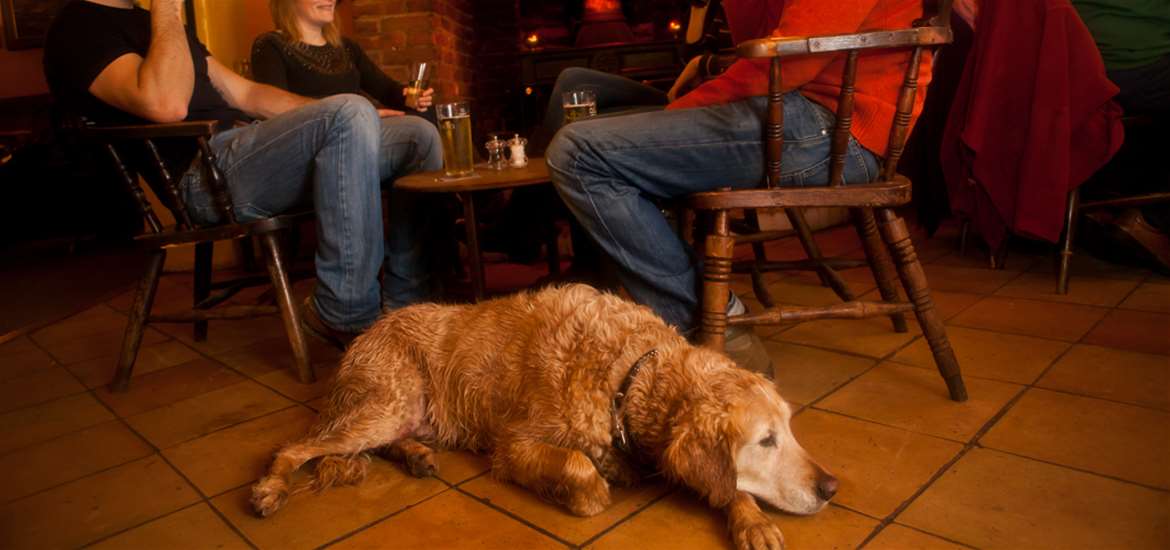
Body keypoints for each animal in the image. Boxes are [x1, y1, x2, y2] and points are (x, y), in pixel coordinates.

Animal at [251, 283, 837, 550]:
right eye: (765, 440)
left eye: (786, 430)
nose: (831, 487)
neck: (627, 373)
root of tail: (367, 331)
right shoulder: (514, 445)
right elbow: (584, 476)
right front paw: (586, 488)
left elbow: (726, 483)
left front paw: (751, 520)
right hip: (383, 404)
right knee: (296, 447)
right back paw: (270, 489)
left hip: (400, 413)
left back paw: (416, 455)